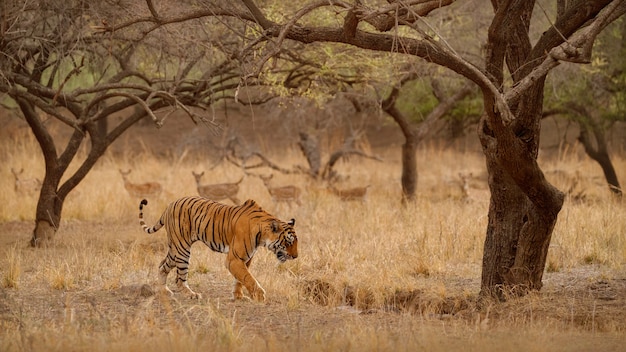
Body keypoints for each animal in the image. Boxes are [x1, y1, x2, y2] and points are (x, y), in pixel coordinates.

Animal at [138, 197, 298, 302]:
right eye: (288, 242)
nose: (295, 256)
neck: (262, 237)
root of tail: (169, 205)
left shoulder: (245, 259)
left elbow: (240, 278)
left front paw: (238, 296)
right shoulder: (234, 259)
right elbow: (248, 277)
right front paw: (259, 295)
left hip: (175, 249)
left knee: (162, 266)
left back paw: (164, 291)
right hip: (182, 249)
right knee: (179, 278)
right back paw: (191, 294)